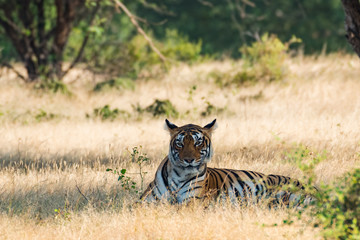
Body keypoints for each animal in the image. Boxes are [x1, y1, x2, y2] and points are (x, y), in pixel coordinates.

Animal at [141, 119, 316, 206]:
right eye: (180, 144)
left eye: (198, 143)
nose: (189, 160)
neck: (179, 175)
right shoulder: (144, 201)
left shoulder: (191, 202)